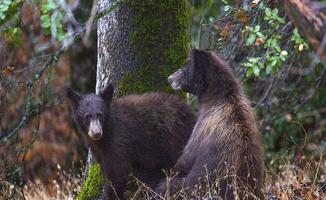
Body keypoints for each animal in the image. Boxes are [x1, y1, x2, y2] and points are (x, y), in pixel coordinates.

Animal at [65, 83, 195, 199]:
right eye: (87, 116)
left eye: (100, 115)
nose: (96, 133)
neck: (107, 129)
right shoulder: (99, 149)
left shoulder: (119, 139)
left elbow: (117, 173)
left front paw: (111, 195)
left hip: (177, 140)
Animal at [157, 49, 266, 199]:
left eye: (185, 67)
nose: (170, 78)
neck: (218, 96)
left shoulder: (203, 125)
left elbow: (187, 156)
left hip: (198, 185)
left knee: (169, 186)